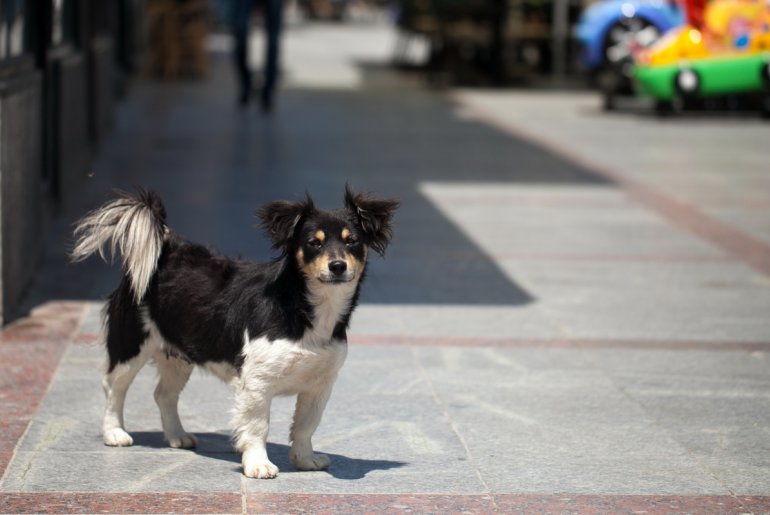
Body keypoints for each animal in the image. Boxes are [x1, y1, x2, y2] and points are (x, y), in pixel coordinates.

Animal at [70, 186, 396, 480]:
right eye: (313, 243)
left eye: (352, 241)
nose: (337, 266)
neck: (308, 308)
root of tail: (167, 250)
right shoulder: (256, 384)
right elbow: (257, 427)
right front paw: (258, 465)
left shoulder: (320, 384)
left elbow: (306, 424)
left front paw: (305, 459)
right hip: (130, 345)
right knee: (113, 388)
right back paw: (114, 432)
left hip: (179, 354)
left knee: (164, 394)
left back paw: (177, 435)